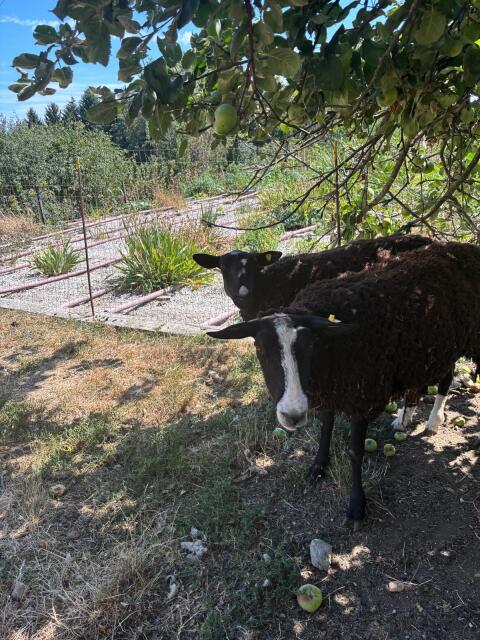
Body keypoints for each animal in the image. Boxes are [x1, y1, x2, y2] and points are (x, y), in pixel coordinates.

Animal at [206, 242, 480, 527]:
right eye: (260, 349)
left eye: (310, 347)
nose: (293, 415)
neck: (332, 349)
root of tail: (462, 247)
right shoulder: (330, 390)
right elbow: (325, 429)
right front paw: (318, 466)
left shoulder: (362, 395)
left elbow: (355, 452)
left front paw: (357, 505)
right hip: (431, 347)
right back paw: (405, 418)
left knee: (447, 377)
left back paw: (436, 421)